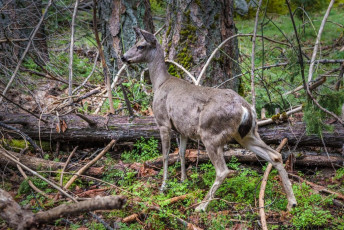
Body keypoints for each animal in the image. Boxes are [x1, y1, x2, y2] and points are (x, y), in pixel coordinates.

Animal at [121, 27, 296, 211]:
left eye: (140, 46)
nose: (123, 57)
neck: (160, 83)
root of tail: (245, 108)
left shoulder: (163, 122)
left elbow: (166, 155)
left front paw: (163, 186)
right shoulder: (183, 129)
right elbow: (182, 153)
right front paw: (183, 180)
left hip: (210, 134)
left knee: (223, 170)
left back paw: (202, 206)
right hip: (247, 133)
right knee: (275, 155)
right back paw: (291, 202)